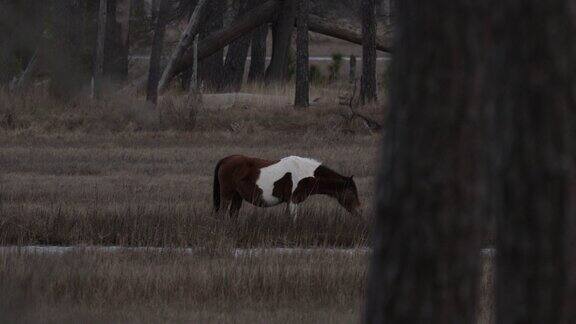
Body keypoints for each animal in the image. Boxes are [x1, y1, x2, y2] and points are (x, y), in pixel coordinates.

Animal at [214, 154, 362, 218]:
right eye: (352, 192)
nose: (359, 211)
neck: (305, 173)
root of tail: (226, 159)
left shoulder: (289, 202)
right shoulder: (293, 201)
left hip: (237, 196)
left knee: (233, 213)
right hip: (227, 194)